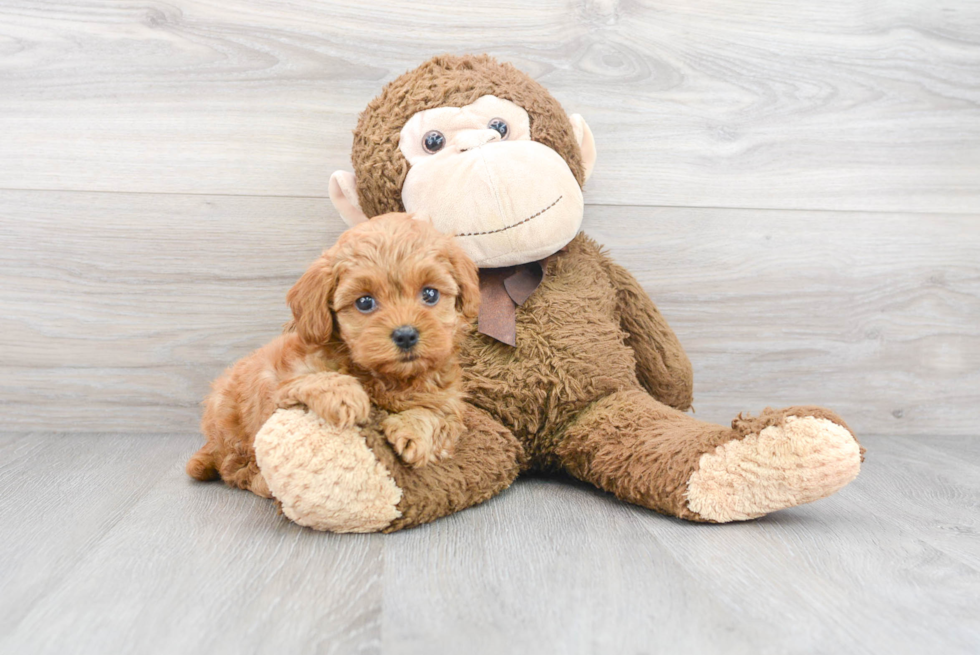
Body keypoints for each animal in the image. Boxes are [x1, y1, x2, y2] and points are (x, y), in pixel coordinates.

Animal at [186, 214, 480, 498]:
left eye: (430, 294)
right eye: (365, 302)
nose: (406, 335)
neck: (389, 379)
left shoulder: (449, 403)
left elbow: (438, 416)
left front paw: (414, 432)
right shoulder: (276, 386)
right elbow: (313, 378)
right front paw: (344, 394)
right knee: (234, 469)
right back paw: (260, 481)